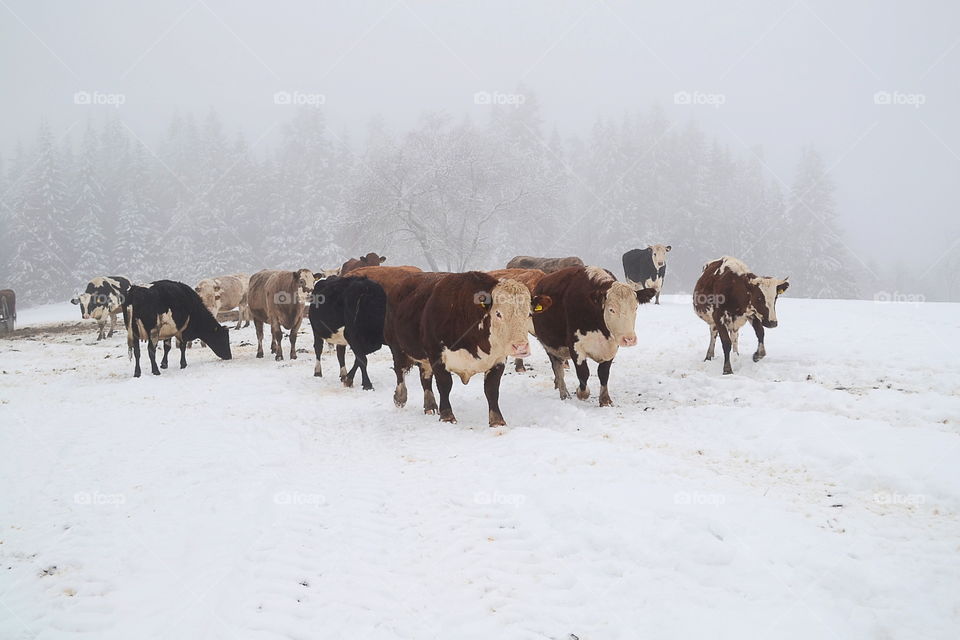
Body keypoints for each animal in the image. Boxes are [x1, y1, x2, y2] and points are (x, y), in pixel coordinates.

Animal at [533, 266, 656, 406]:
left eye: (635, 308)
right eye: (611, 309)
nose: (629, 339)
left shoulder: (611, 347)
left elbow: (603, 373)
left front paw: (605, 400)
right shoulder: (575, 345)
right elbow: (583, 373)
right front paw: (581, 393)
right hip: (550, 346)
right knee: (558, 369)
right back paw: (564, 394)